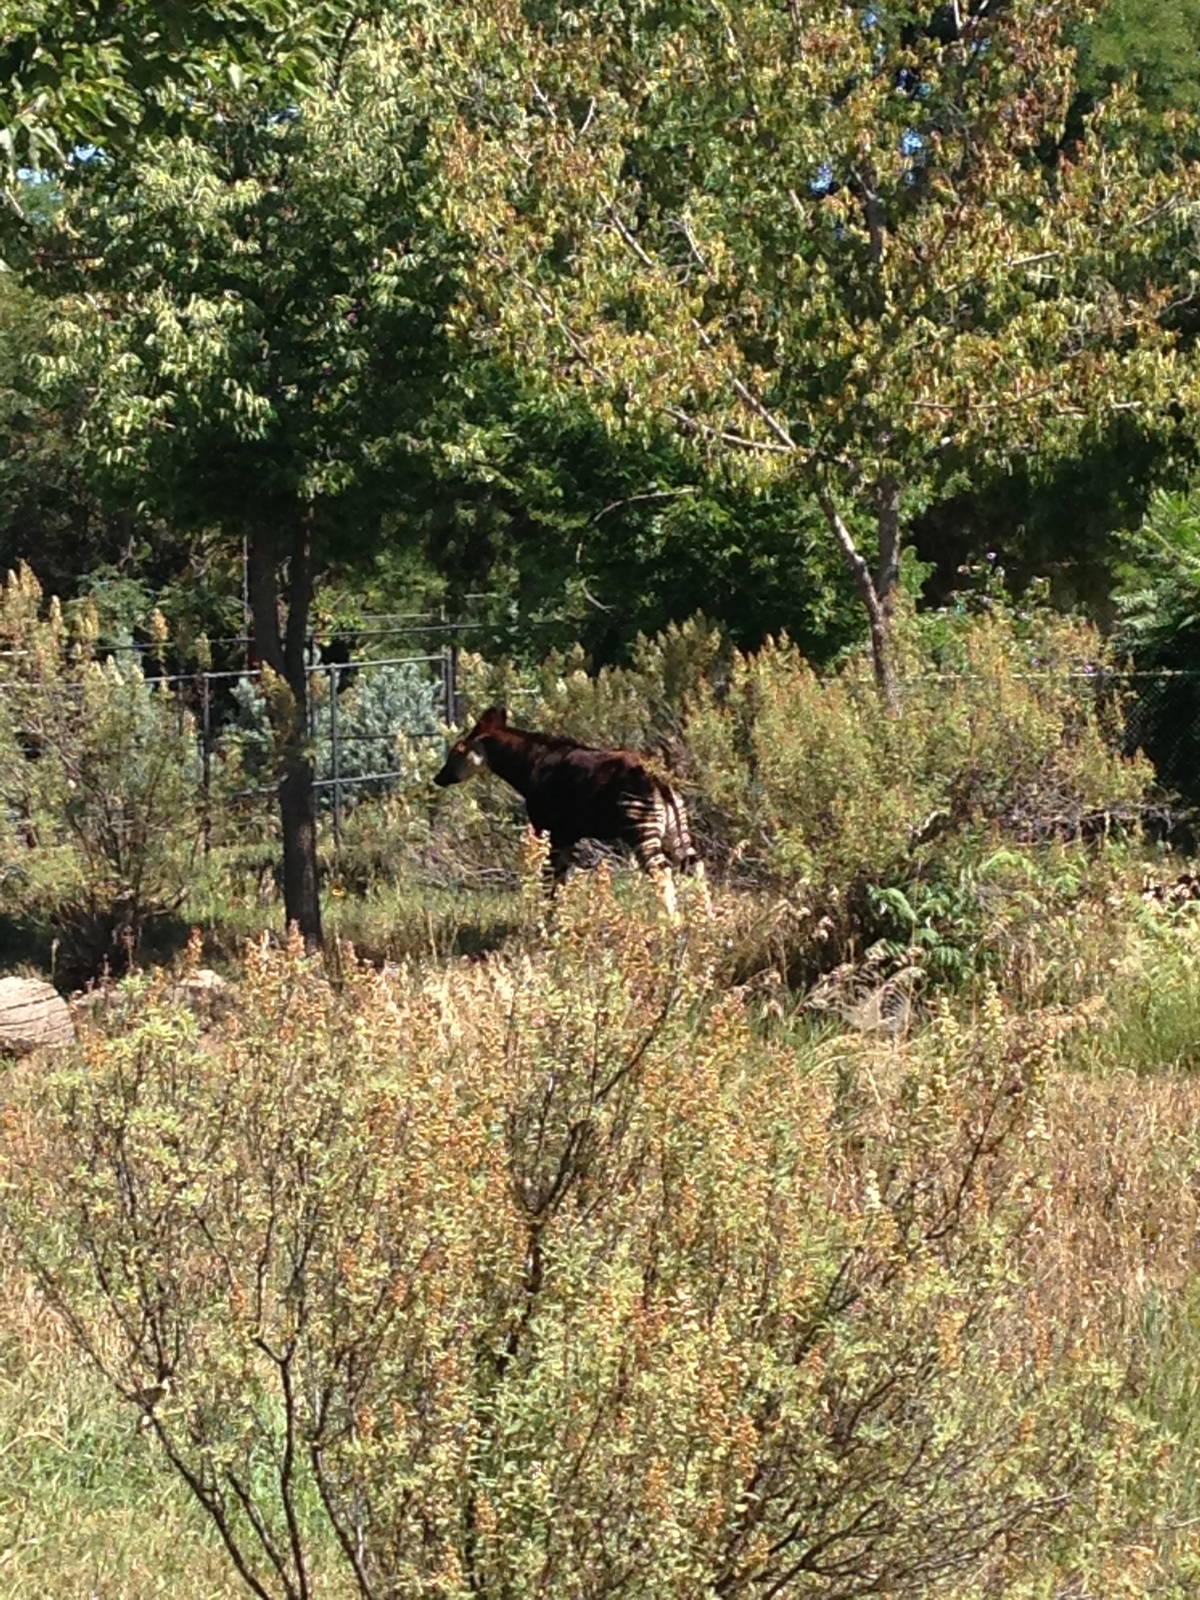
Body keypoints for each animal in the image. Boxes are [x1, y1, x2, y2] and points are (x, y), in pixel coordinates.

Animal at [433, 706, 704, 915]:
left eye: (457, 750)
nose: (438, 778)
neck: (531, 763)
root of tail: (659, 779)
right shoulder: (568, 835)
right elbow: (561, 881)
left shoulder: (549, 830)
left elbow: (550, 879)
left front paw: (548, 924)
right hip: (674, 828)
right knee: (693, 865)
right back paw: (705, 922)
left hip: (641, 829)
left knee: (662, 871)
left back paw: (671, 923)